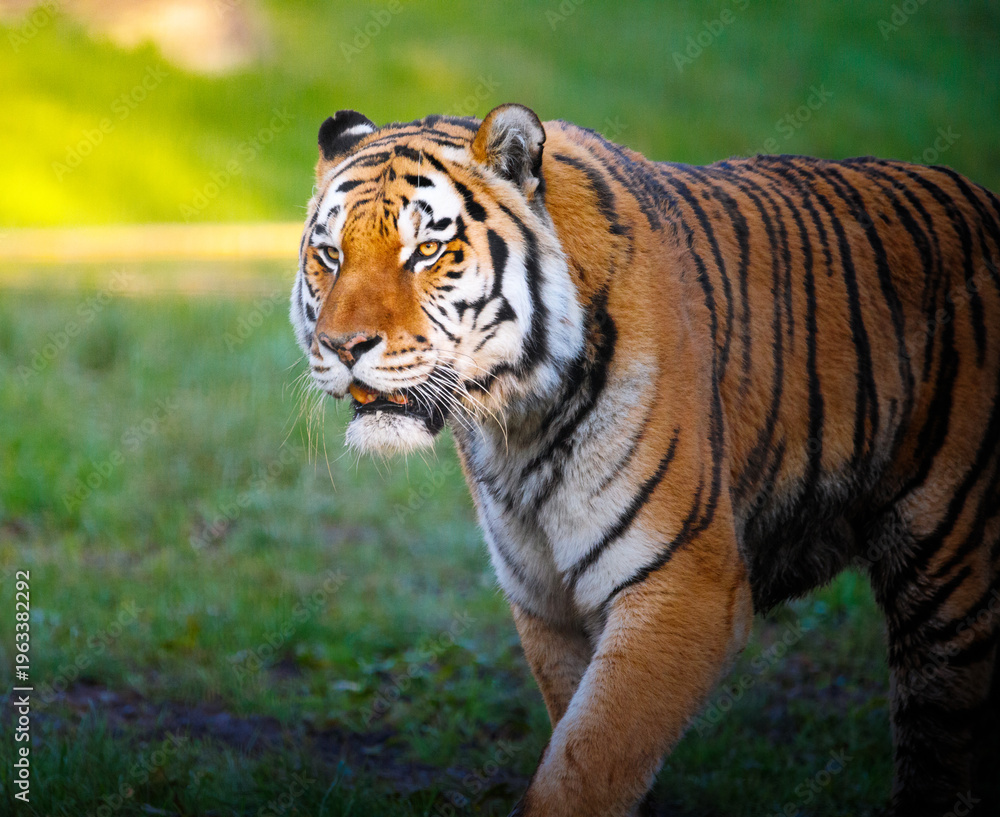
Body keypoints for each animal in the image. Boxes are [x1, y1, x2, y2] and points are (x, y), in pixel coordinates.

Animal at [290, 103, 1000, 816]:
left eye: (427, 251)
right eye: (331, 254)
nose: (343, 346)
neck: (517, 427)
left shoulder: (684, 589)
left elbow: (584, 768)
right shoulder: (546, 603)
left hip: (950, 578)